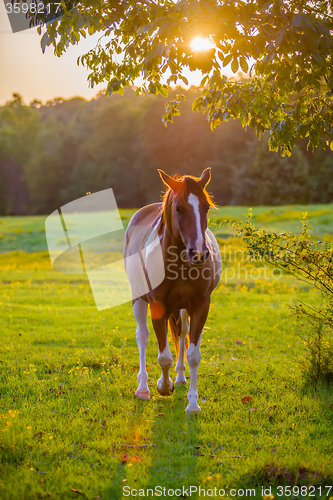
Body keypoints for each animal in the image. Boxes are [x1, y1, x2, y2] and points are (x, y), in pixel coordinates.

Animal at [122, 168, 220, 414]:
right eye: (178, 208)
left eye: (206, 207)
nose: (199, 253)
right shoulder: (158, 307)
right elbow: (163, 356)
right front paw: (163, 386)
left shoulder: (200, 307)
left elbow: (193, 354)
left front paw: (193, 403)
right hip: (138, 300)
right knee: (142, 337)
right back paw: (143, 388)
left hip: (183, 309)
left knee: (182, 333)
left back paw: (181, 378)